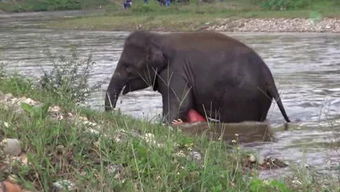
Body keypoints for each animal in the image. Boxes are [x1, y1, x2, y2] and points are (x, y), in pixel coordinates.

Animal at [105, 30, 290, 123]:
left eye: (127, 67)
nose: (113, 114)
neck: (158, 37)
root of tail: (269, 77)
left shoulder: (175, 71)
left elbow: (181, 104)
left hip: (243, 97)